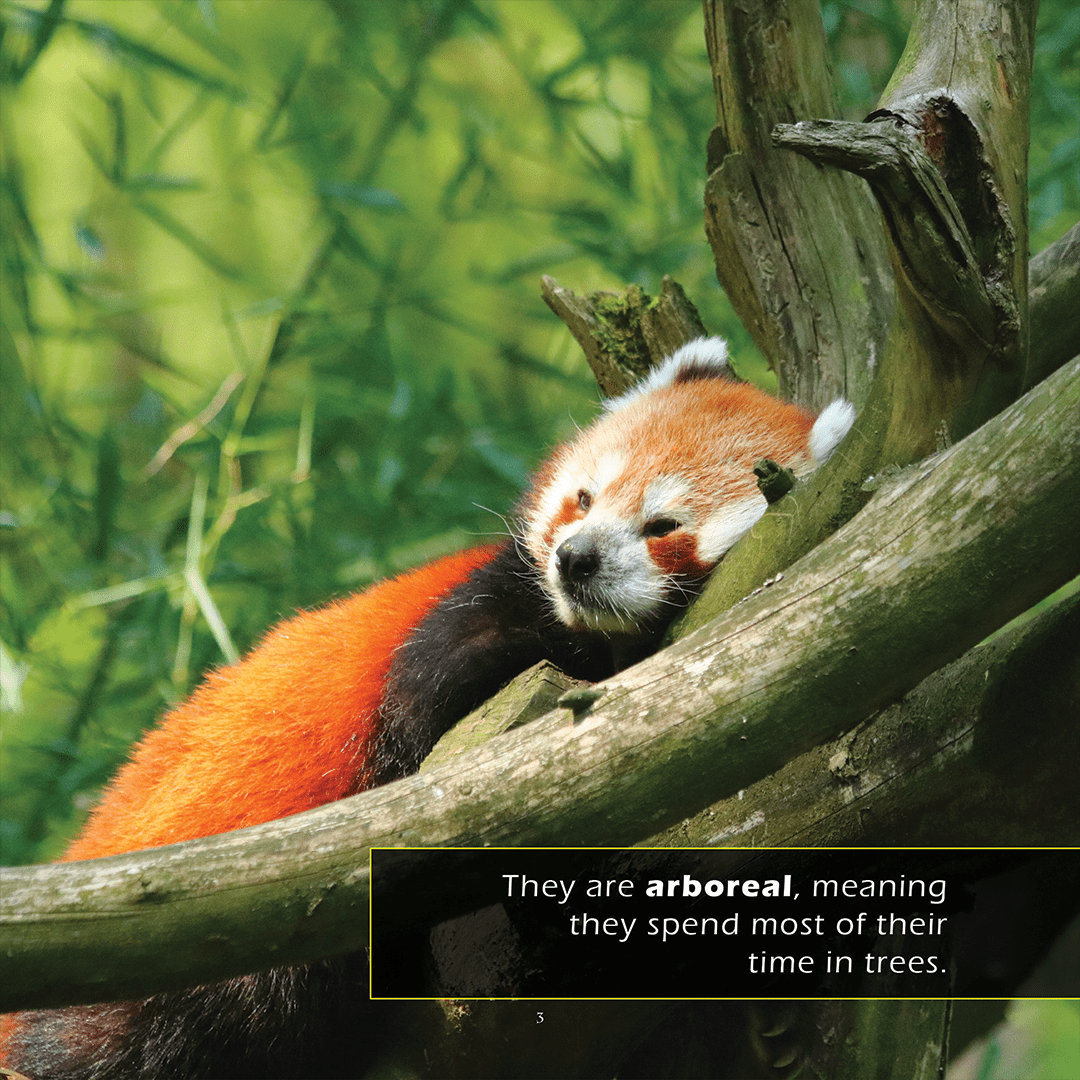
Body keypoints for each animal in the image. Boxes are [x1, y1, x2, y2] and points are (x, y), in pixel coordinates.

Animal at [1, 337, 855, 1079]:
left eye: (662, 526)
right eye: (582, 498)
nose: (575, 560)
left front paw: (773, 1010)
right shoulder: (468, 622)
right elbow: (437, 706)